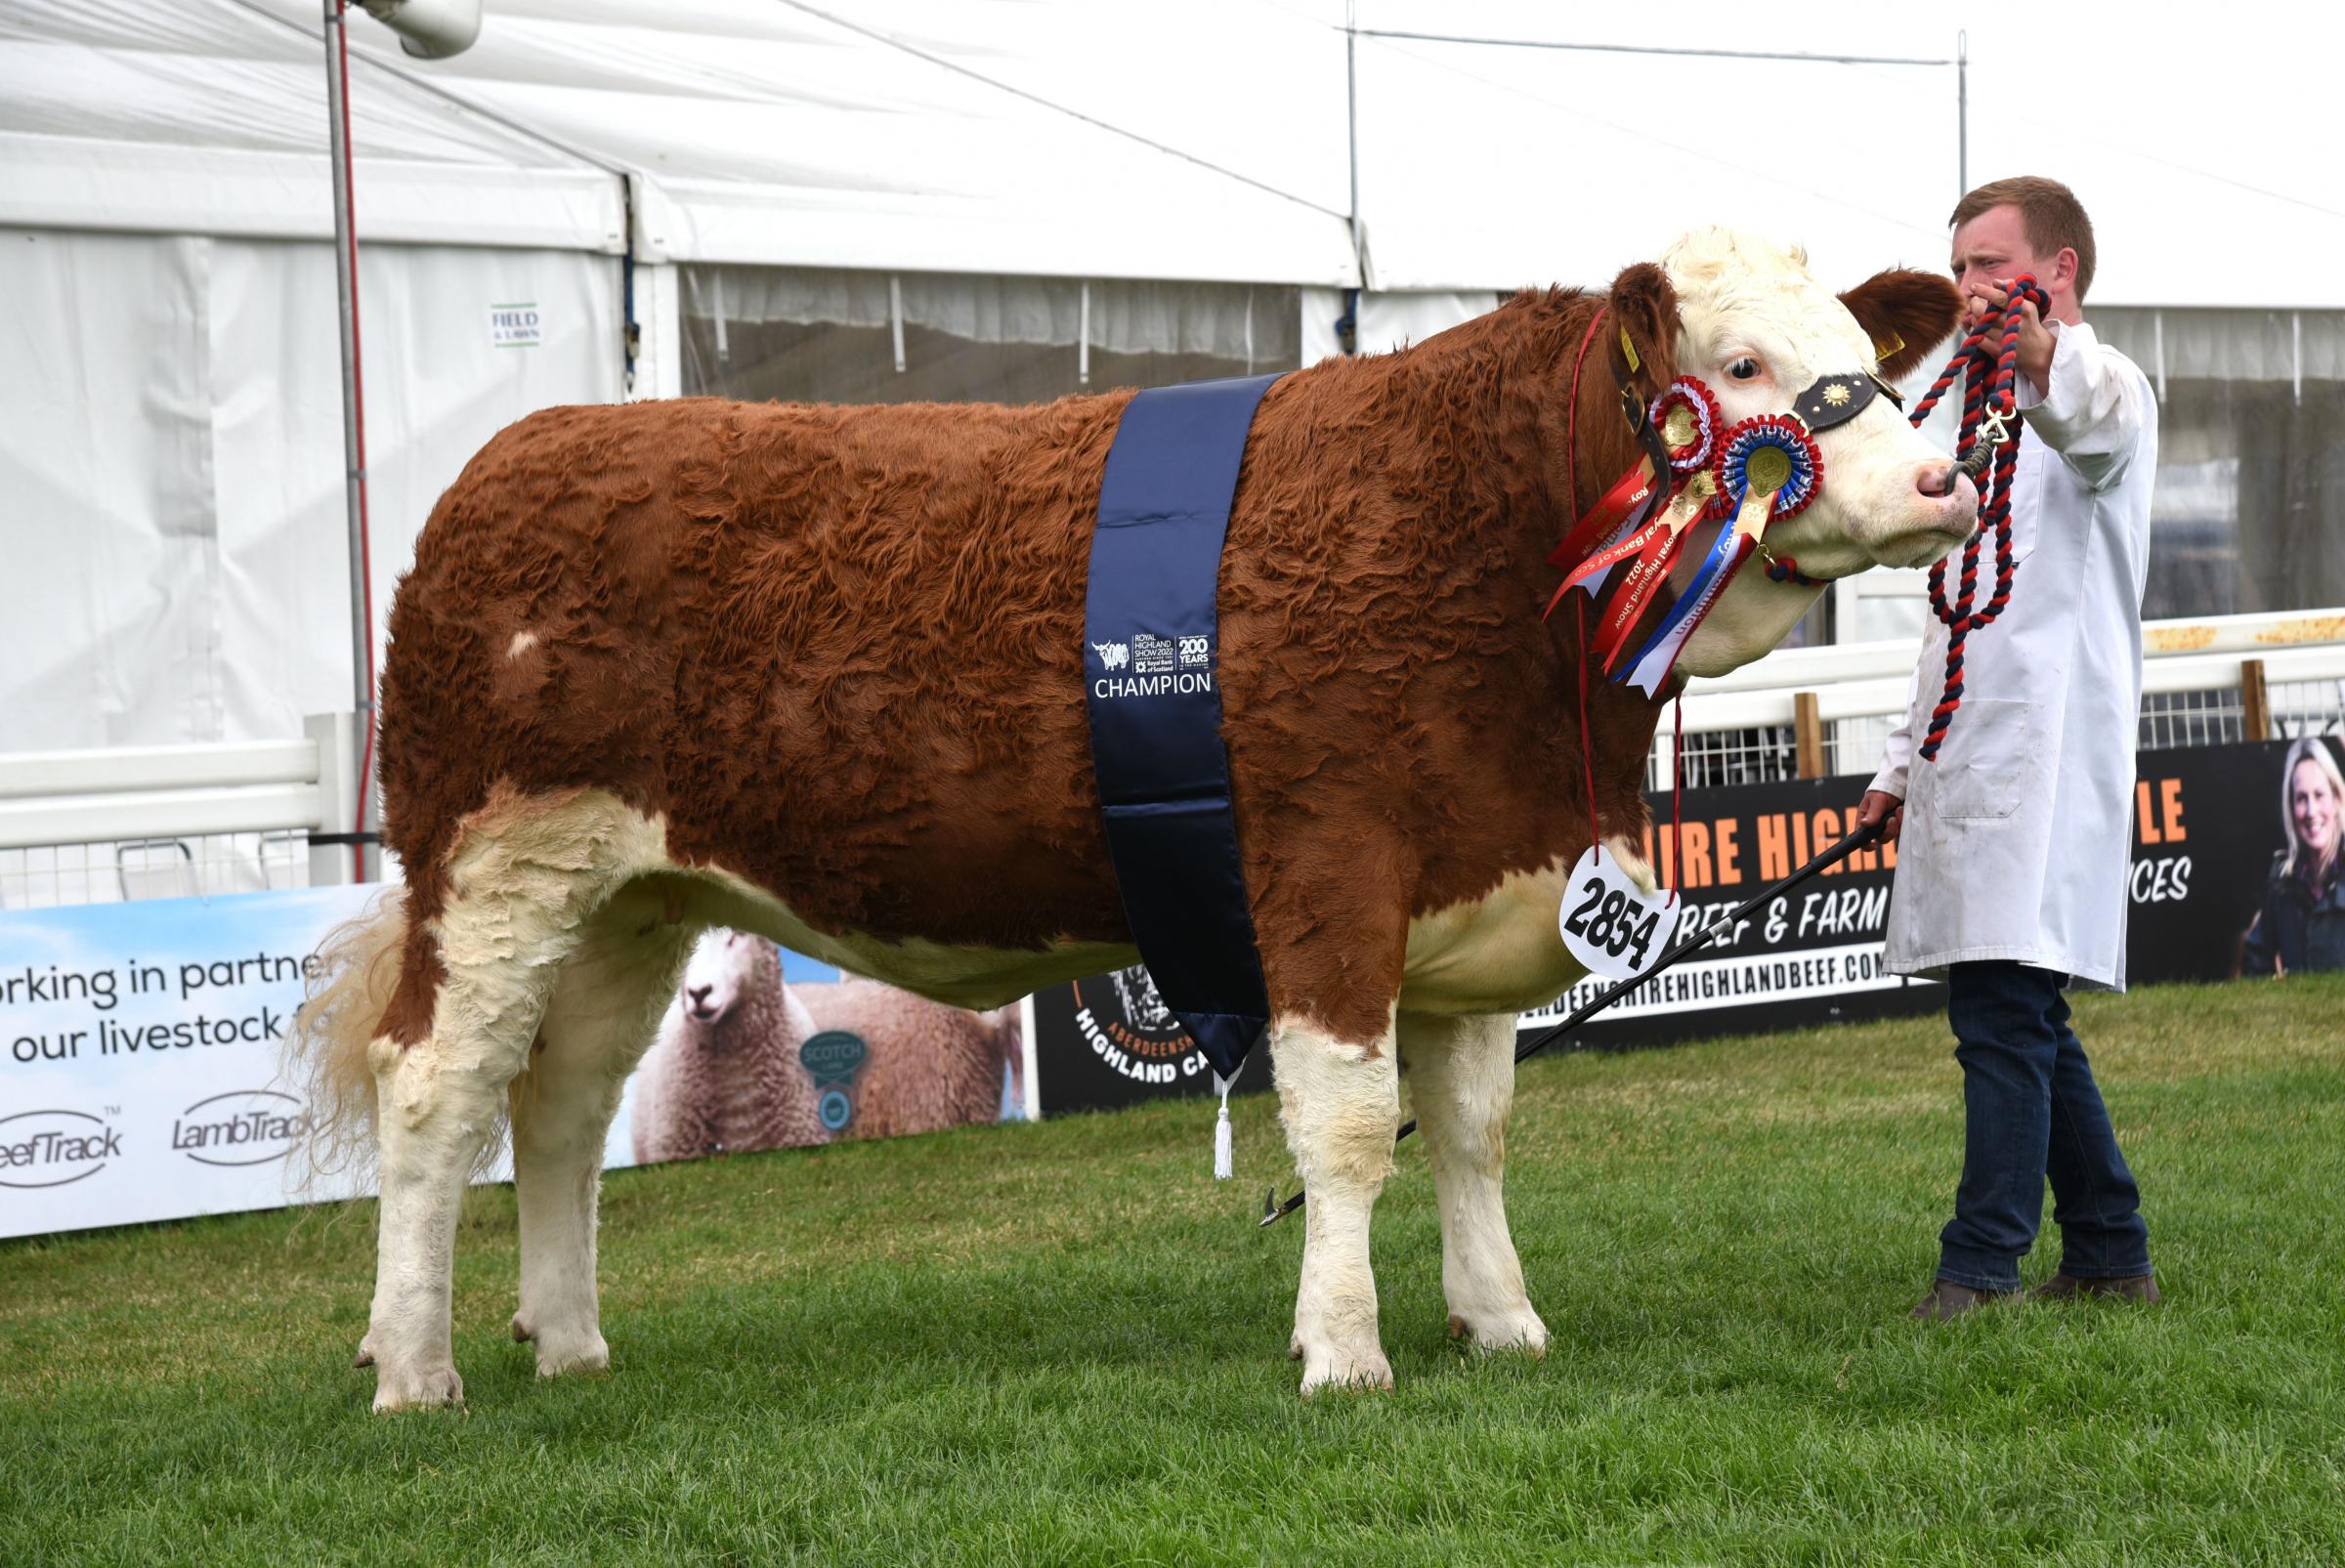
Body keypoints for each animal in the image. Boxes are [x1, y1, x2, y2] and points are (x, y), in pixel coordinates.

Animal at [297, 222, 1979, 1406]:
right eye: (1741, 370)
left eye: (1863, 352)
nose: (1942, 482)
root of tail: (519, 456)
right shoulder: (1325, 863)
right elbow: (1351, 1125)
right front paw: (1344, 1351)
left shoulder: (1474, 875)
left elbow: (1475, 1129)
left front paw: (1502, 1320)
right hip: (496, 861)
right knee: (435, 1092)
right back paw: (415, 1370)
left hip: (628, 899)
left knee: (561, 1105)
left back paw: (568, 1341)